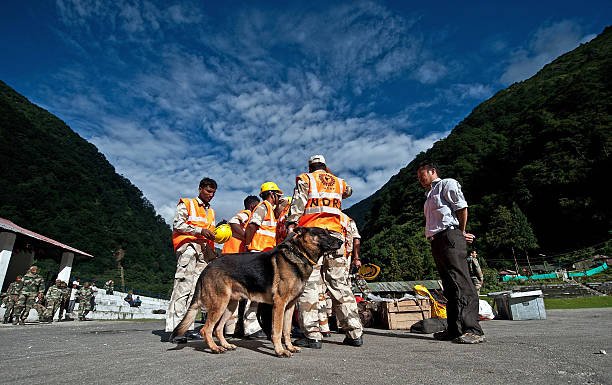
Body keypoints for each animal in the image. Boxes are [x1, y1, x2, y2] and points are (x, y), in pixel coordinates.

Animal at [172, 226, 342, 356]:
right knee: (206, 329)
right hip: (219, 304)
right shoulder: (279, 305)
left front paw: (290, 347)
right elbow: (277, 330)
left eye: (328, 232)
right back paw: (215, 348)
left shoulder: (289, 306)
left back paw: (225, 345)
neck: (300, 254)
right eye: (322, 233)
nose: (341, 242)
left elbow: (287, 330)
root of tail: (207, 267)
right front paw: (280, 351)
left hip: (230, 305)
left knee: (218, 329)